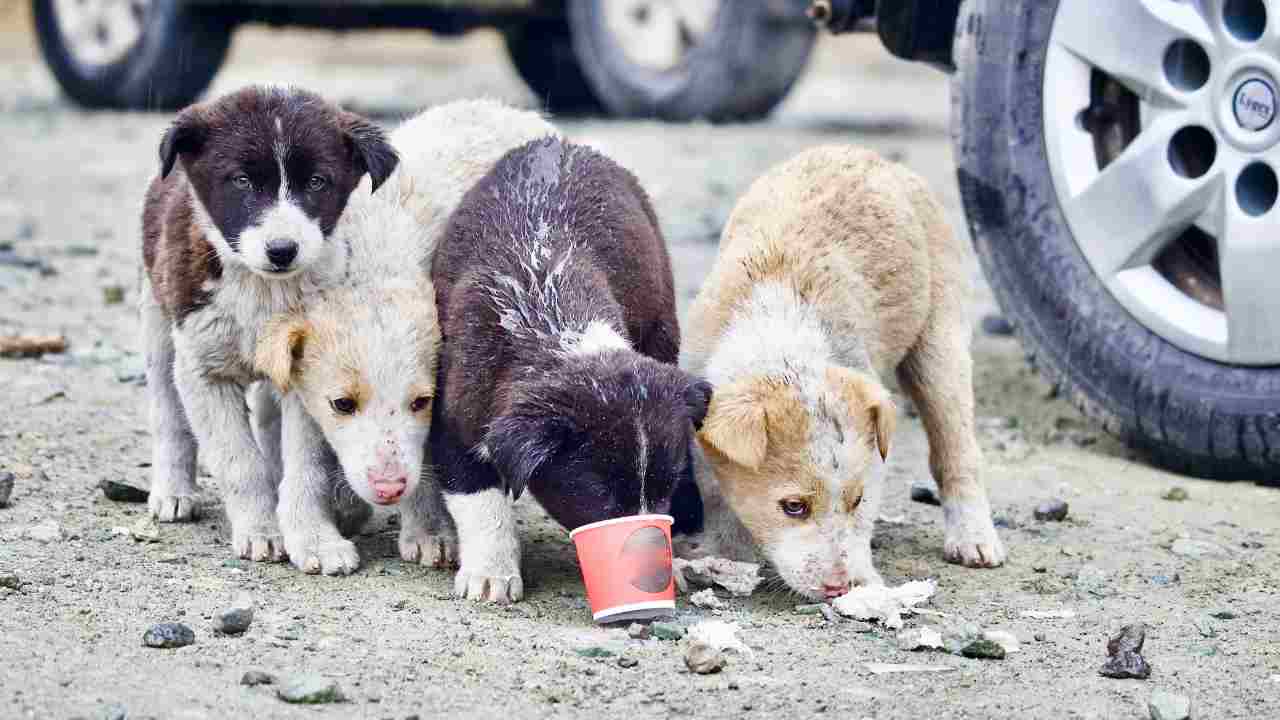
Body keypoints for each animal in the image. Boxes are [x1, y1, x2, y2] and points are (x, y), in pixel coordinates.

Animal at [142, 85, 396, 561]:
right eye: (242, 181)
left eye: (316, 182)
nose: (282, 250)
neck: (263, 291)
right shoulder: (205, 370)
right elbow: (239, 462)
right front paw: (260, 529)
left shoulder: (307, 374)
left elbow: (307, 465)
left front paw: (314, 537)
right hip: (157, 321)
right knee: (168, 411)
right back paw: (172, 490)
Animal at [254, 99, 560, 571]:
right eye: (342, 404)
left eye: (420, 401)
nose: (389, 488)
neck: (376, 259)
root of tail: (506, 108)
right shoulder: (301, 372)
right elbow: (306, 451)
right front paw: (316, 537)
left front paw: (430, 531)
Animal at [430, 137, 711, 602]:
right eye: (600, 493)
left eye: (664, 487)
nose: (648, 560)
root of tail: (563, 143)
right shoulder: (456, 411)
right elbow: (479, 496)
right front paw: (492, 572)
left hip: (661, 321)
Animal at [686, 142, 1003, 597]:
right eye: (794, 507)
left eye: (855, 500)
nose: (838, 587)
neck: (781, 339)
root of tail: (867, 154)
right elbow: (715, 493)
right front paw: (723, 554)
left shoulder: (873, 458)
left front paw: (865, 578)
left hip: (941, 339)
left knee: (956, 448)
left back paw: (973, 537)